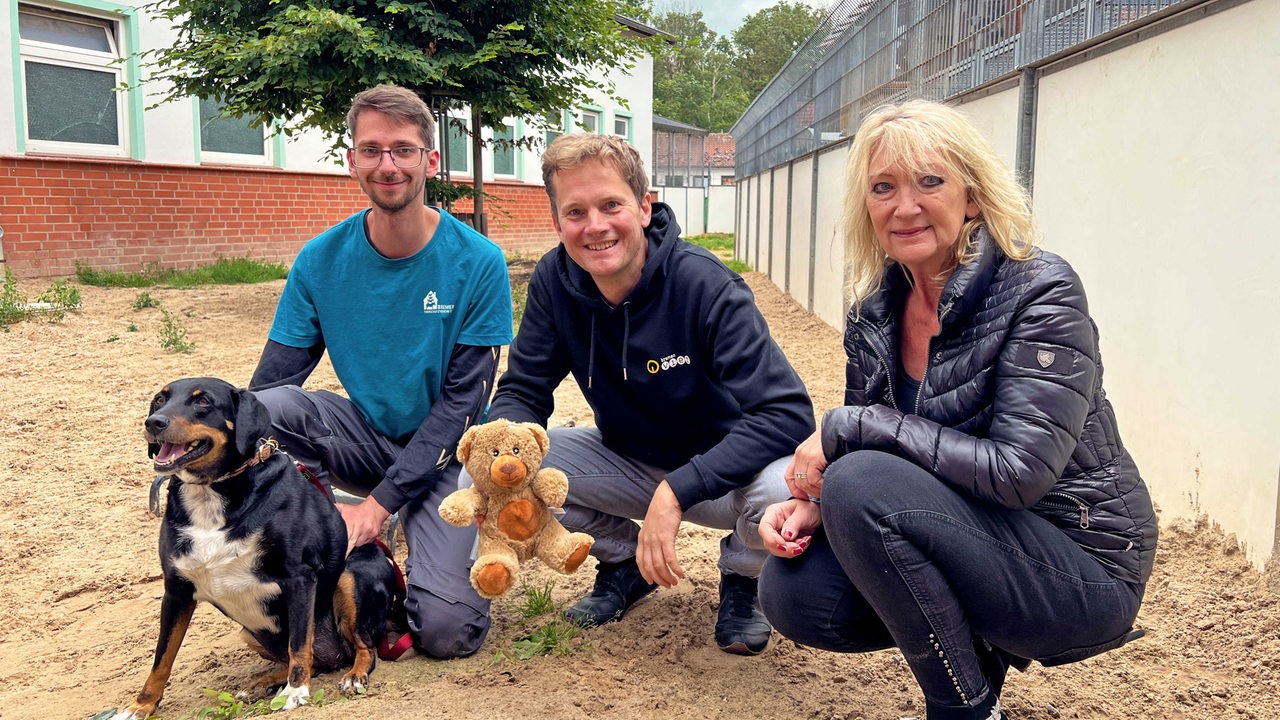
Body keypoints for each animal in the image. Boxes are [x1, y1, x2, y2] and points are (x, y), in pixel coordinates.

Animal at [117, 379, 404, 712]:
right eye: (160, 400)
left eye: (203, 402)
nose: (154, 422)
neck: (212, 492)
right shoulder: (177, 590)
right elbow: (161, 658)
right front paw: (141, 706)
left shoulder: (299, 578)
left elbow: (299, 645)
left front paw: (296, 691)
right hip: (249, 632)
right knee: (318, 662)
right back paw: (260, 684)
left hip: (351, 577)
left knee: (363, 648)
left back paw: (353, 676)